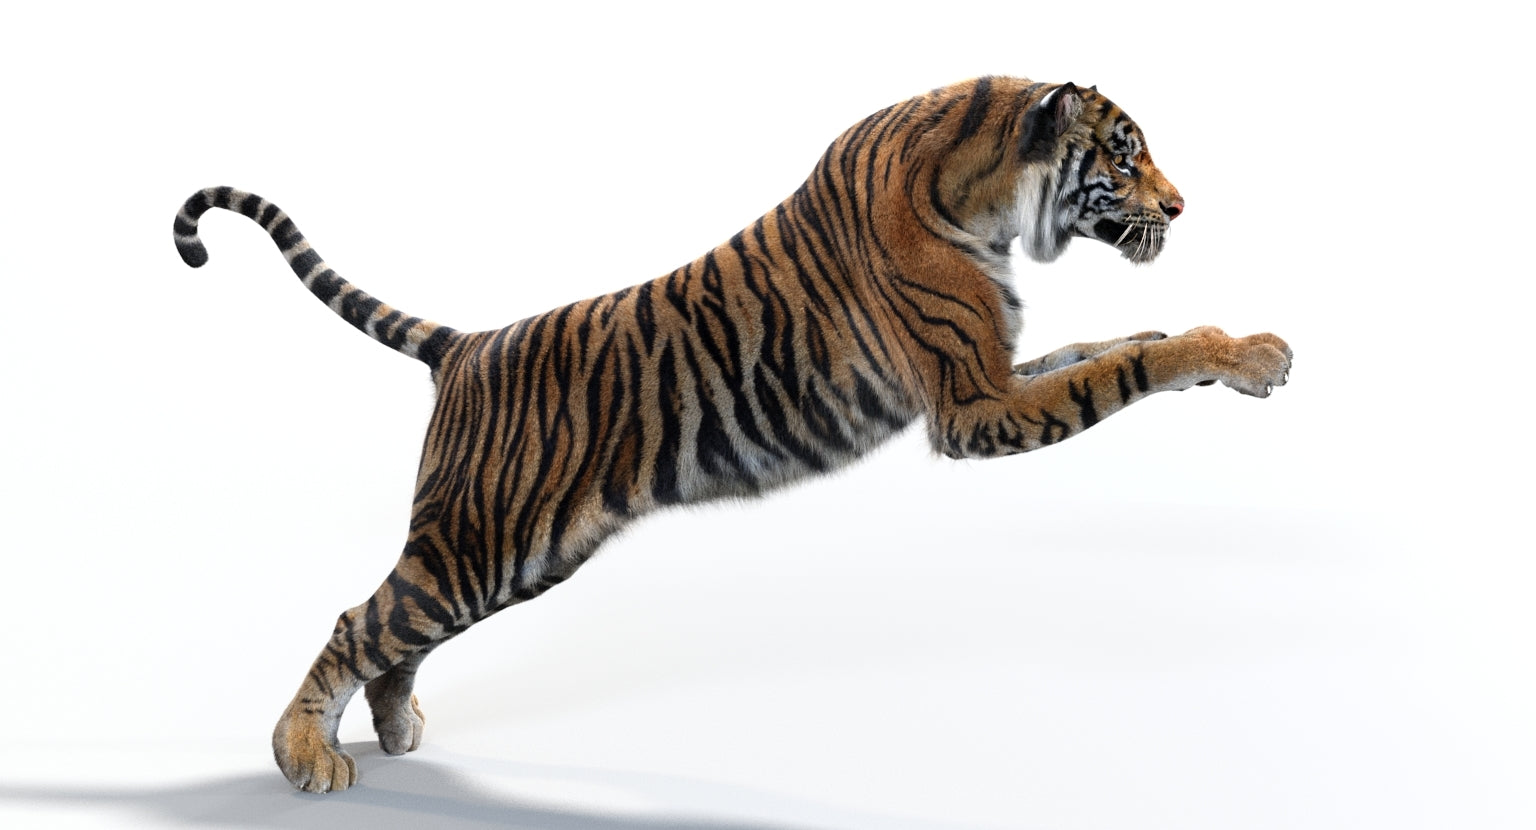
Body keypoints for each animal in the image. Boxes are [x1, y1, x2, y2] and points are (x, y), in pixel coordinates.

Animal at [172, 75, 1291, 793]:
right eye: (1124, 154)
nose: (1180, 206)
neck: (989, 199)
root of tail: (466, 343)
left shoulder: (994, 374)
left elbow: (1118, 343)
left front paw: (1227, 345)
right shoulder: (974, 406)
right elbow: (1121, 367)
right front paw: (1251, 355)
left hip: (512, 554)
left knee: (397, 633)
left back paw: (398, 728)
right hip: (480, 542)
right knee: (359, 620)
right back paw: (305, 758)